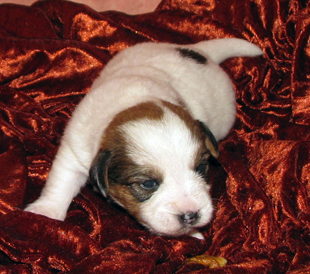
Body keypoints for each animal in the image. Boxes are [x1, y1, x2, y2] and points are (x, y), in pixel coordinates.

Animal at [25, 37, 262, 239]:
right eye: (148, 184)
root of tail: (199, 51)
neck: (134, 102)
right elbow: (61, 182)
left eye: (201, 168)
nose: (191, 216)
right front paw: (45, 212)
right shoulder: (74, 149)